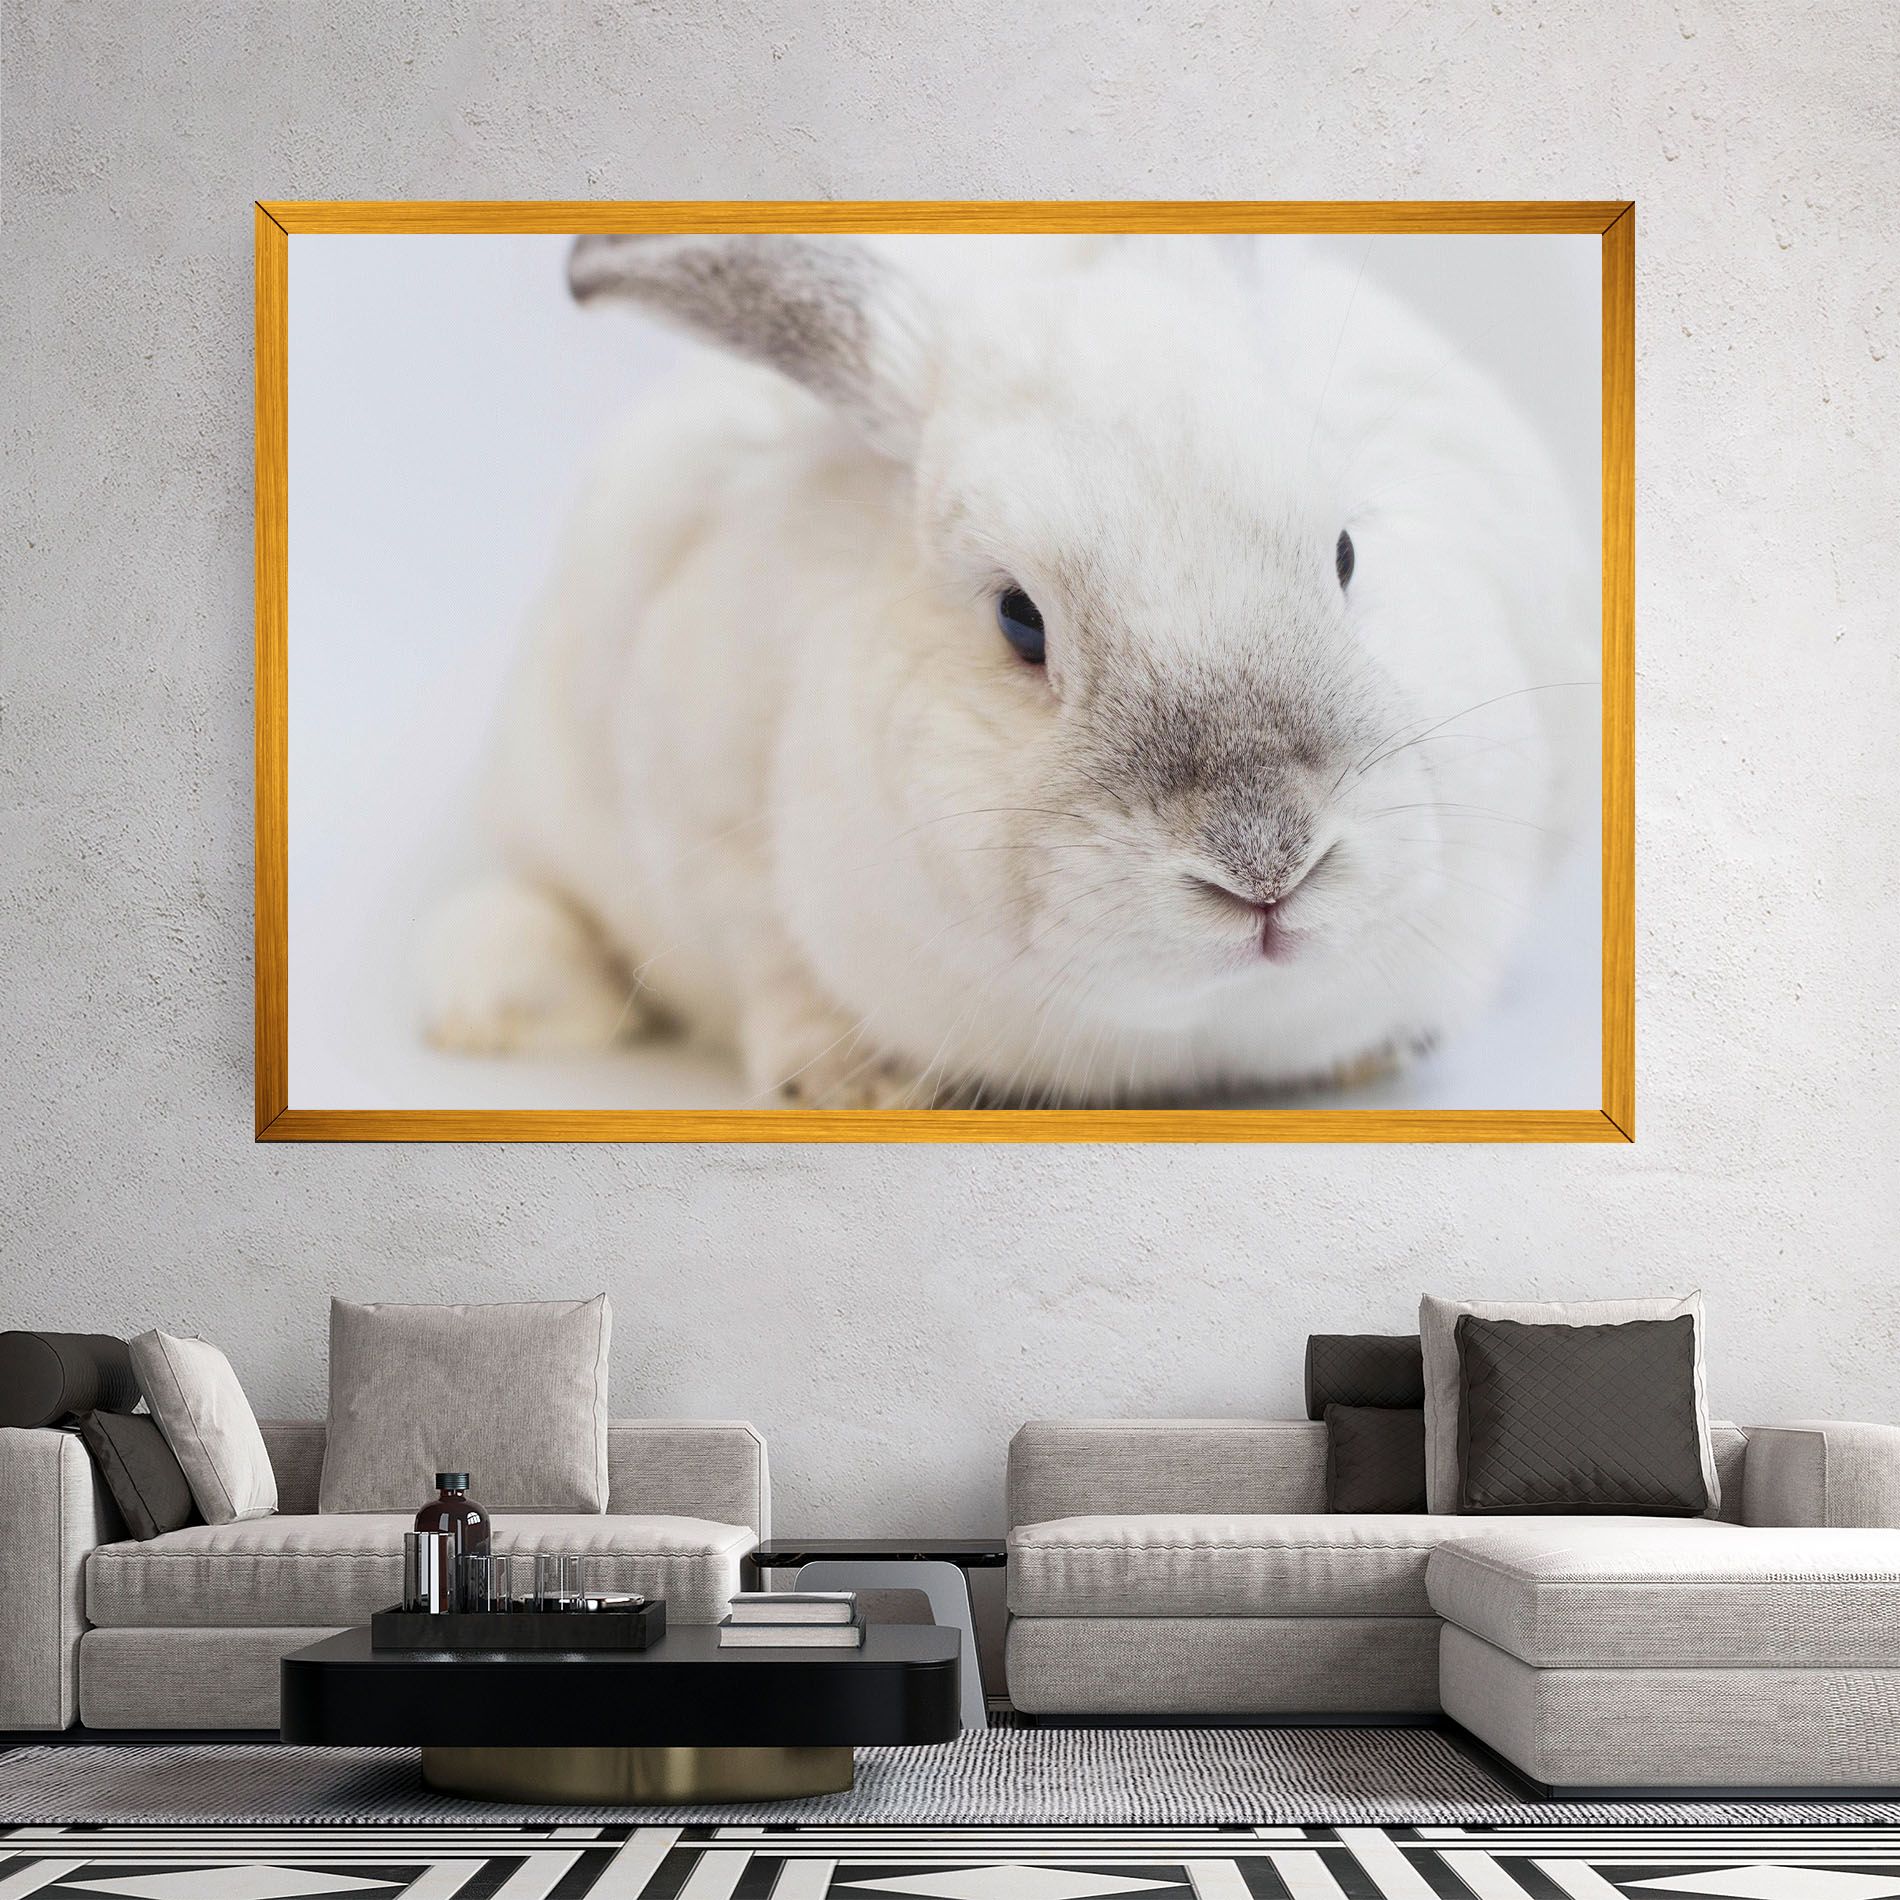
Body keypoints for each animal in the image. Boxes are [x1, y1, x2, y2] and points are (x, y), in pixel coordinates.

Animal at [417, 233, 1594, 1107]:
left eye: (1346, 553)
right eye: (1019, 619)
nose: (1265, 864)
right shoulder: (702, 820)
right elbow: (772, 964)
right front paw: (854, 1082)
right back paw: (490, 1007)